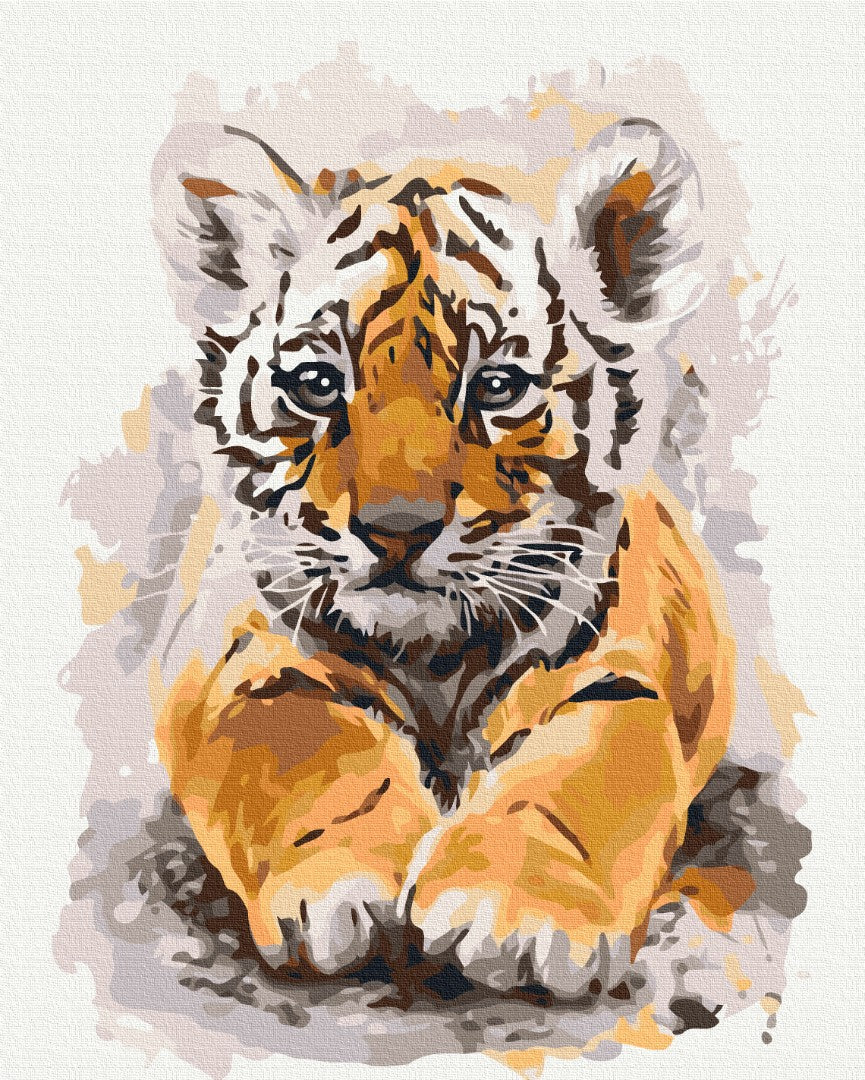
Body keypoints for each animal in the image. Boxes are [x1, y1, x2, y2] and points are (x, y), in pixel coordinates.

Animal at [151, 114, 746, 998]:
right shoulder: (244, 655)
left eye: (496, 387)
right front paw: (346, 886)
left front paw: (518, 912)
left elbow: (573, 783)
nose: (397, 527)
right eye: (317, 383)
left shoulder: (612, 673)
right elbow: (309, 748)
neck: (431, 657)